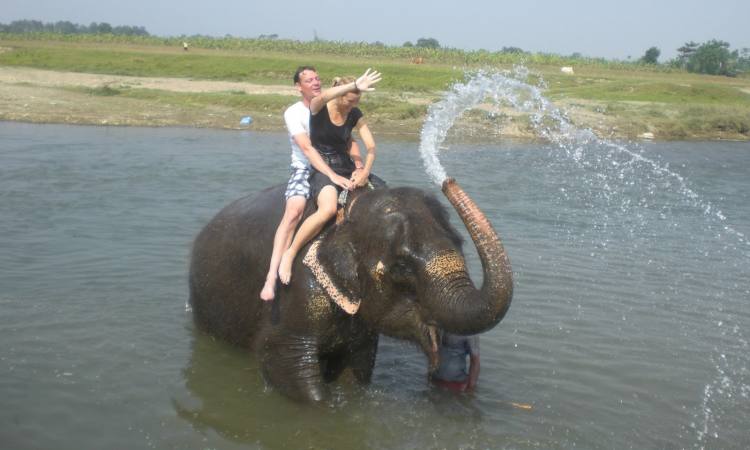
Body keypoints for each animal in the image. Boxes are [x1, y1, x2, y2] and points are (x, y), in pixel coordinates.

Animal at [191, 178, 516, 402]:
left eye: (460, 244)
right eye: (402, 267)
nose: (448, 181)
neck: (350, 213)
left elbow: (357, 370)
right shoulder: (294, 295)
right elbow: (282, 361)